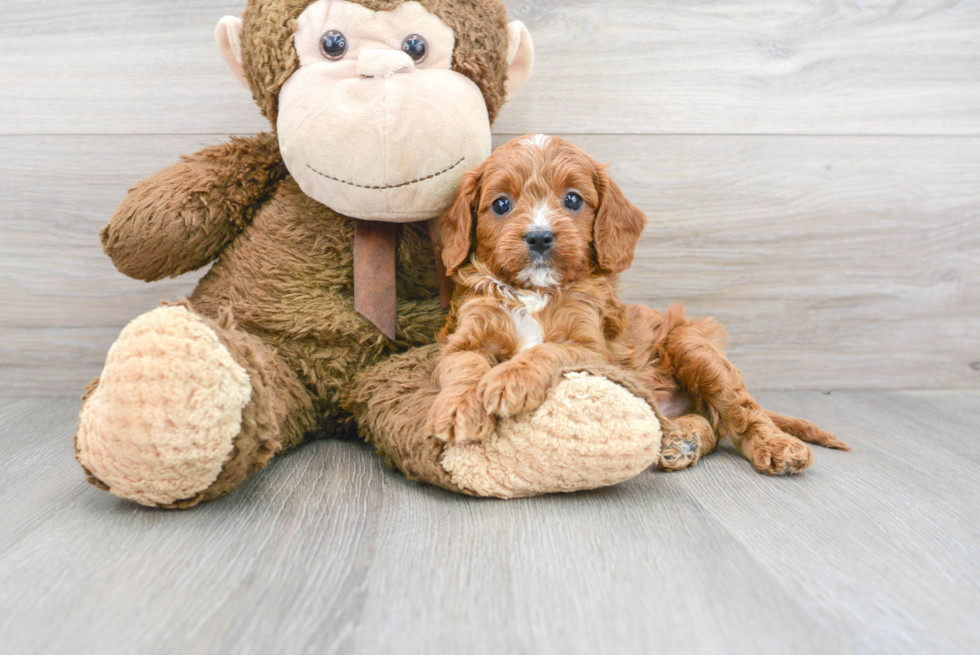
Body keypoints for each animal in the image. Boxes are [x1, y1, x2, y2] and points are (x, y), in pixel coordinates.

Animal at [424, 133, 848, 474]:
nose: (540, 237)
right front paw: (459, 408)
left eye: (573, 199)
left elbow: (547, 351)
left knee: (740, 410)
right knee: (711, 424)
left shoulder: (592, 350)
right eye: (500, 204)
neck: (535, 292)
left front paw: (508, 379)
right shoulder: (464, 338)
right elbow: (465, 366)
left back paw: (778, 446)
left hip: (689, 343)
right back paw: (683, 441)